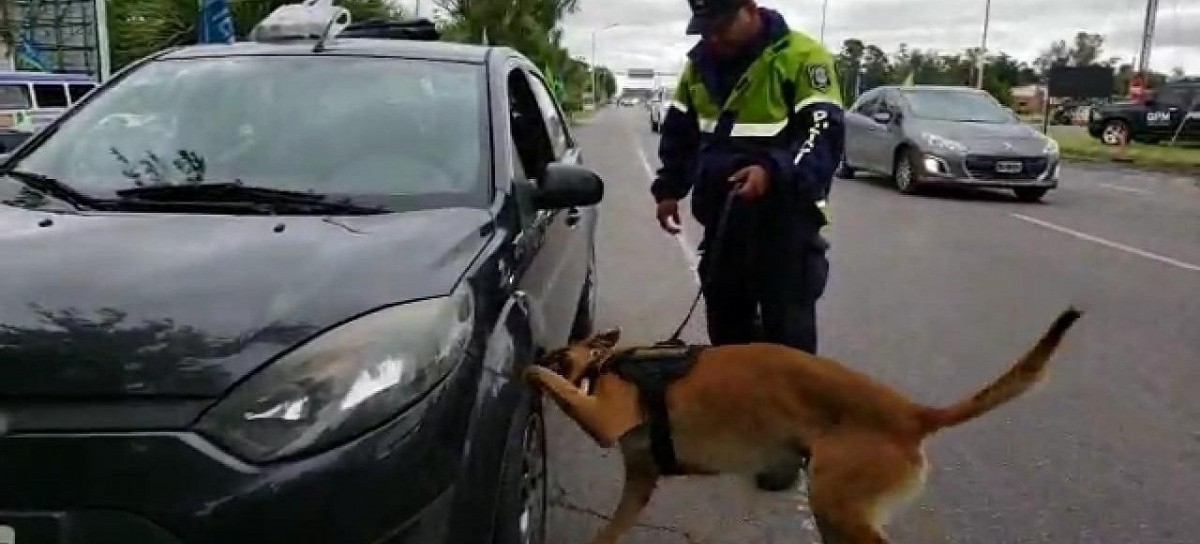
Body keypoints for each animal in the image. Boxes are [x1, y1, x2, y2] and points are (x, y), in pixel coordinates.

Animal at [525, 307, 1089, 540]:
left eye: (557, 351)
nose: (543, 346)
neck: (611, 362)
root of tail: (912, 412)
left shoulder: (604, 415)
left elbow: (549, 383)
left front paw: (526, 368)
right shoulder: (639, 483)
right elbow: (610, 531)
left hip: (836, 502)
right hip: (835, 511)